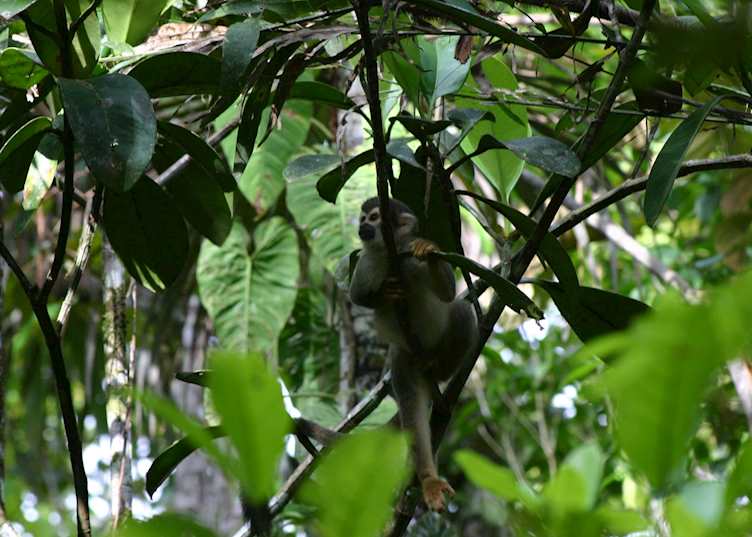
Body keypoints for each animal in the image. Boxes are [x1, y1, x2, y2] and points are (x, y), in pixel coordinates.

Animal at [349, 197, 478, 512]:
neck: (391, 254)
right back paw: (428, 479)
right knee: (411, 407)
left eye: (373, 217)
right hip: (402, 358)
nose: (362, 227)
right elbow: (357, 297)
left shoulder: (405, 252)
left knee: (460, 310)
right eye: (362, 218)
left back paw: (437, 368)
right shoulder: (366, 260)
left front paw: (427, 250)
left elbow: (447, 293)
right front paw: (384, 293)